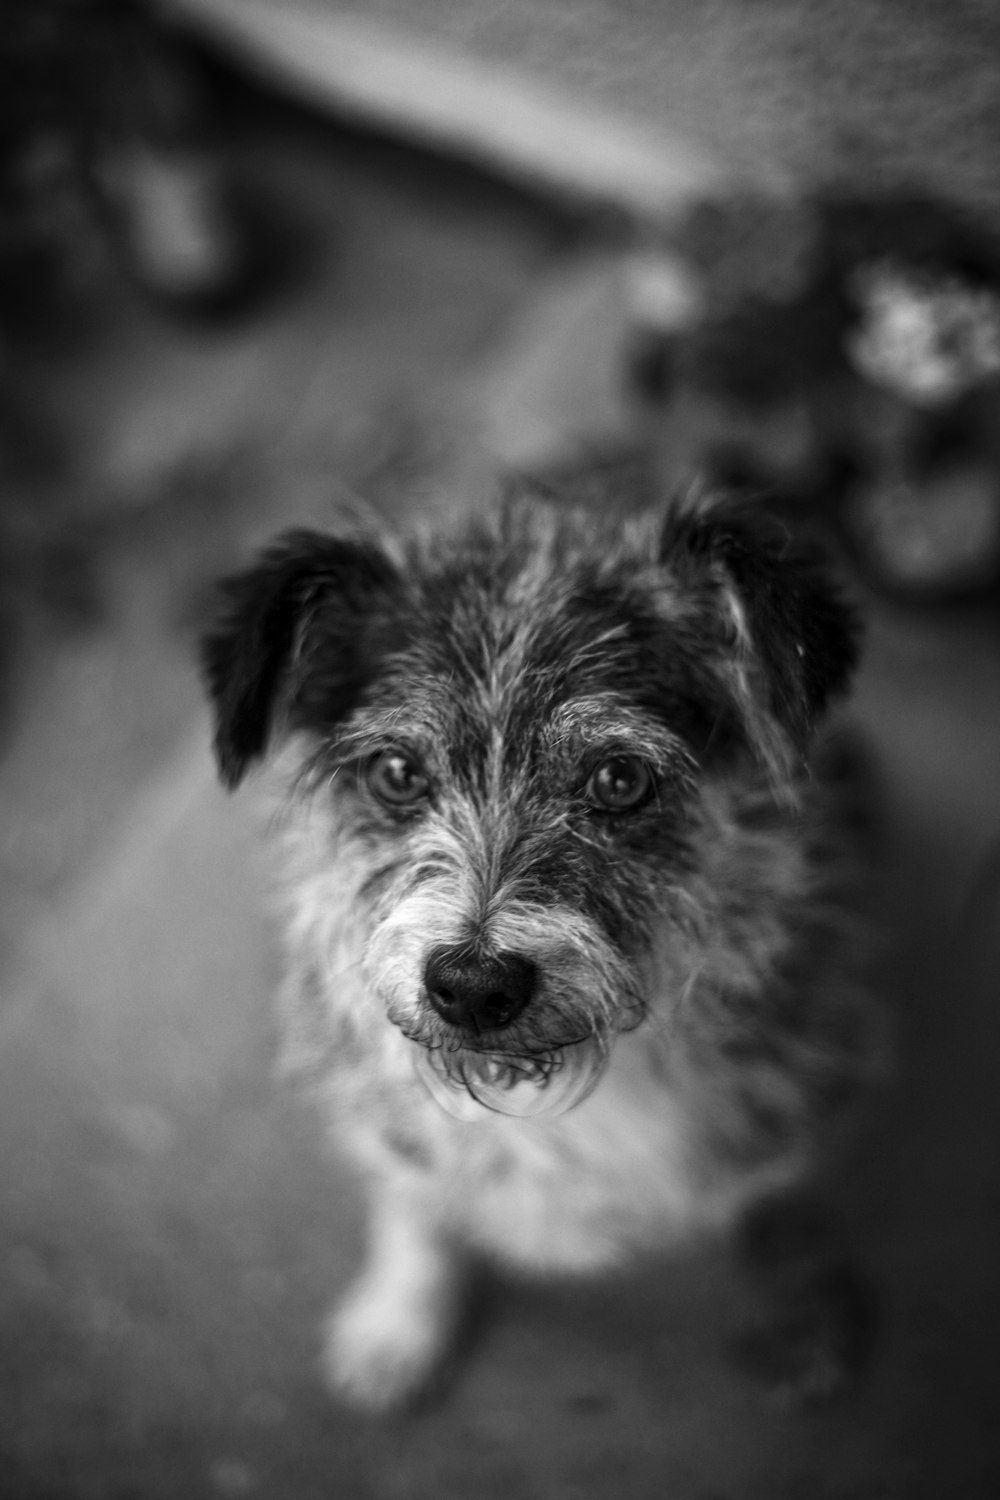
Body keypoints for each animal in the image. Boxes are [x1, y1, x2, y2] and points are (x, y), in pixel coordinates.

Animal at [199, 486, 881, 1410]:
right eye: (396, 773)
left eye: (620, 780)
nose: (471, 985)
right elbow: (413, 1202)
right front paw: (398, 1322)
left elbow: (776, 1201)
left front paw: (797, 1309)